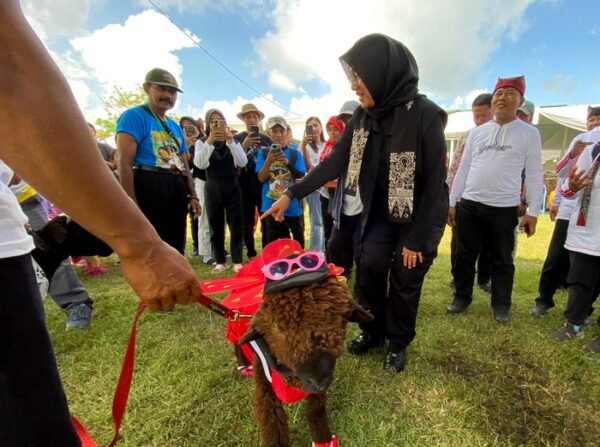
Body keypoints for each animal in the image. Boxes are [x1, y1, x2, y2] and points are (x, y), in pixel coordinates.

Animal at [238, 276, 372, 447]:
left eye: (342, 322)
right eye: (278, 327)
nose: (320, 381)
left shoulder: (316, 393)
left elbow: (316, 411)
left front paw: (324, 440)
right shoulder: (265, 394)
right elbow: (273, 424)